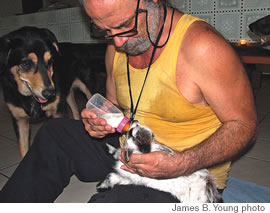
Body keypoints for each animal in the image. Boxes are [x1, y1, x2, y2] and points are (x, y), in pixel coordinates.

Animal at [0, 26, 105, 157]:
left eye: (50, 61)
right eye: (26, 63)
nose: (50, 94)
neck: (30, 98)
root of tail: (79, 46)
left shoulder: (58, 112)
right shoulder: (19, 121)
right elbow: (23, 150)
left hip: (88, 89)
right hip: (67, 95)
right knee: (75, 110)